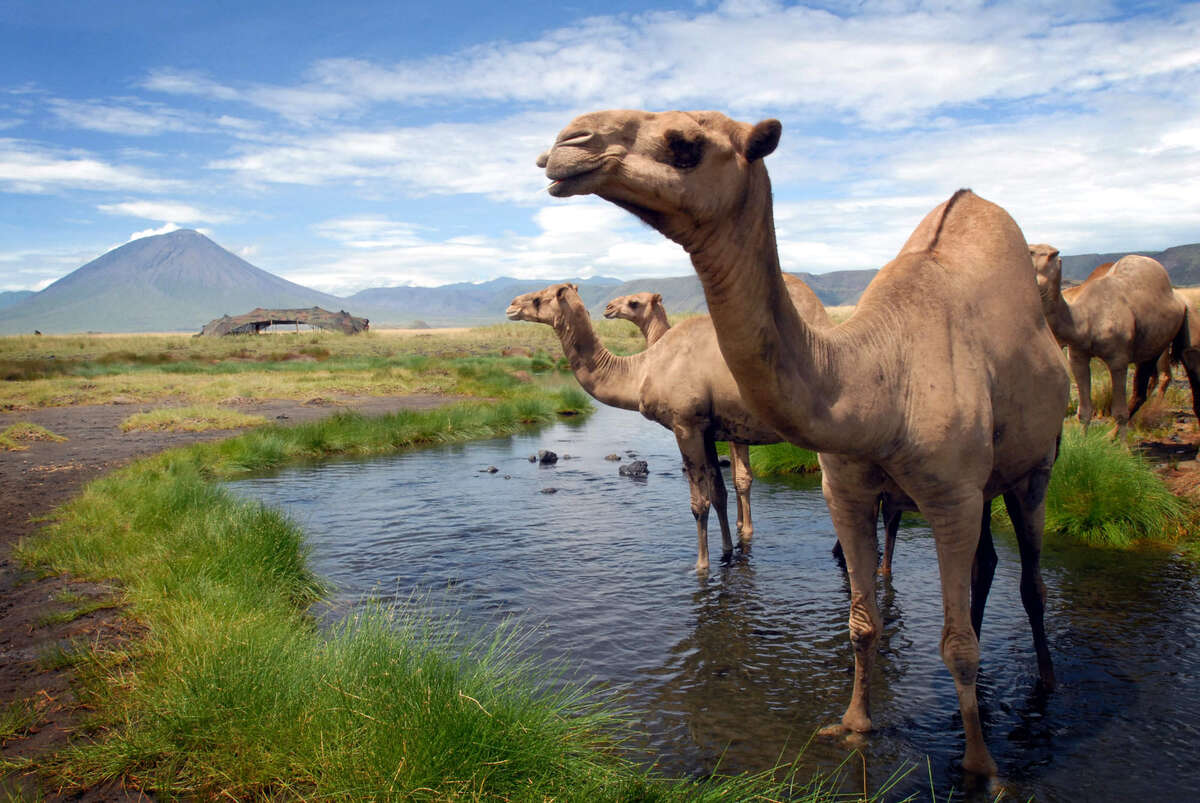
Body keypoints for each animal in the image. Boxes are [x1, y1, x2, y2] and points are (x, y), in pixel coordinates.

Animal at [609, 284, 902, 573]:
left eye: (634, 302)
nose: (609, 307)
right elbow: (736, 478)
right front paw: (740, 527)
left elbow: (741, 478)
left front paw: (744, 530)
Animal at [1032, 244, 1200, 432]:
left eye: (1031, 252)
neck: (1083, 318)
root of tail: (1178, 298)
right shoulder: (1077, 354)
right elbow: (1084, 411)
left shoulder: (1118, 359)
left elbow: (1119, 411)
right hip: (1154, 347)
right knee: (1144, 388)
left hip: (1182, 332)